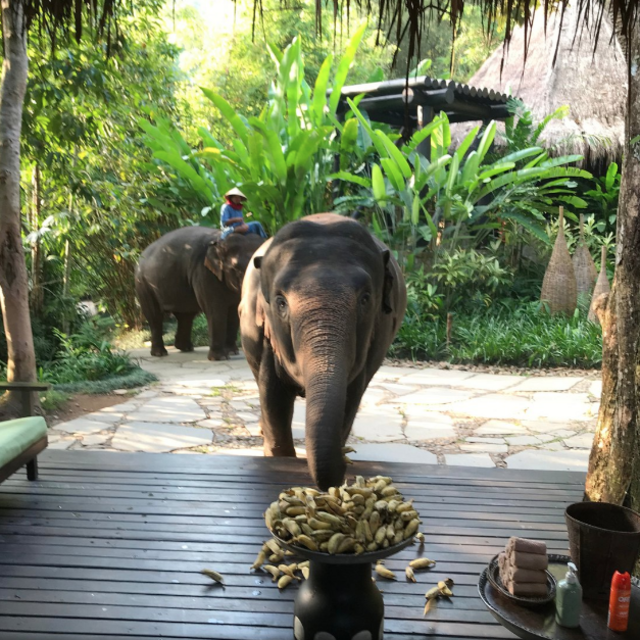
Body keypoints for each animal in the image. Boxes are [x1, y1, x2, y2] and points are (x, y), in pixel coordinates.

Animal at [135, 227, 264, 360]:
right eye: (236, 268)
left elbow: (233, 312)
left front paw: (232, 352)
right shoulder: (204, 273)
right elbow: (215, 311)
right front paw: (220, 358)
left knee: (186, 315)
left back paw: (185, 348)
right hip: (144, 285)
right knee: (155, 316)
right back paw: (160, 353)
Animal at [239, 213, 406, 489]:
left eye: (365, 298)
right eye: (280, 302)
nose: (345, 462)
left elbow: (351, 396)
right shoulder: (266, 336)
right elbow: (273, 397)